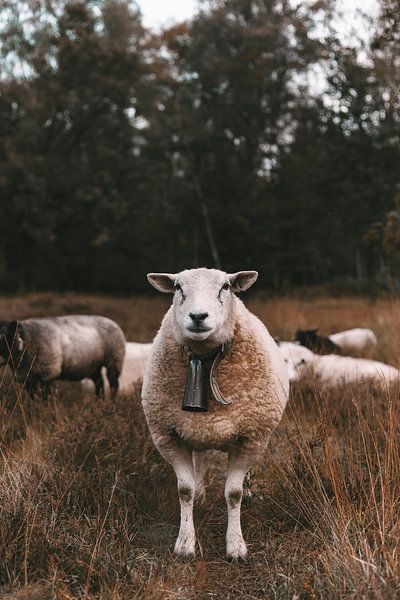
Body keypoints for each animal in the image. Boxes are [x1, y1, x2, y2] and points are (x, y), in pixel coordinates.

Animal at [142, 270, 290, 560]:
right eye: (178, 287)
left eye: (225, 287)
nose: (198, 316)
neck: (205, 358)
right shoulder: (168, 436)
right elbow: (184, 490)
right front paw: (185, 543)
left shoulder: (251, 438)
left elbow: (233, 494)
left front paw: (236, 546)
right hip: (194, 429)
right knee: (199, 458)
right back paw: (201, 491)